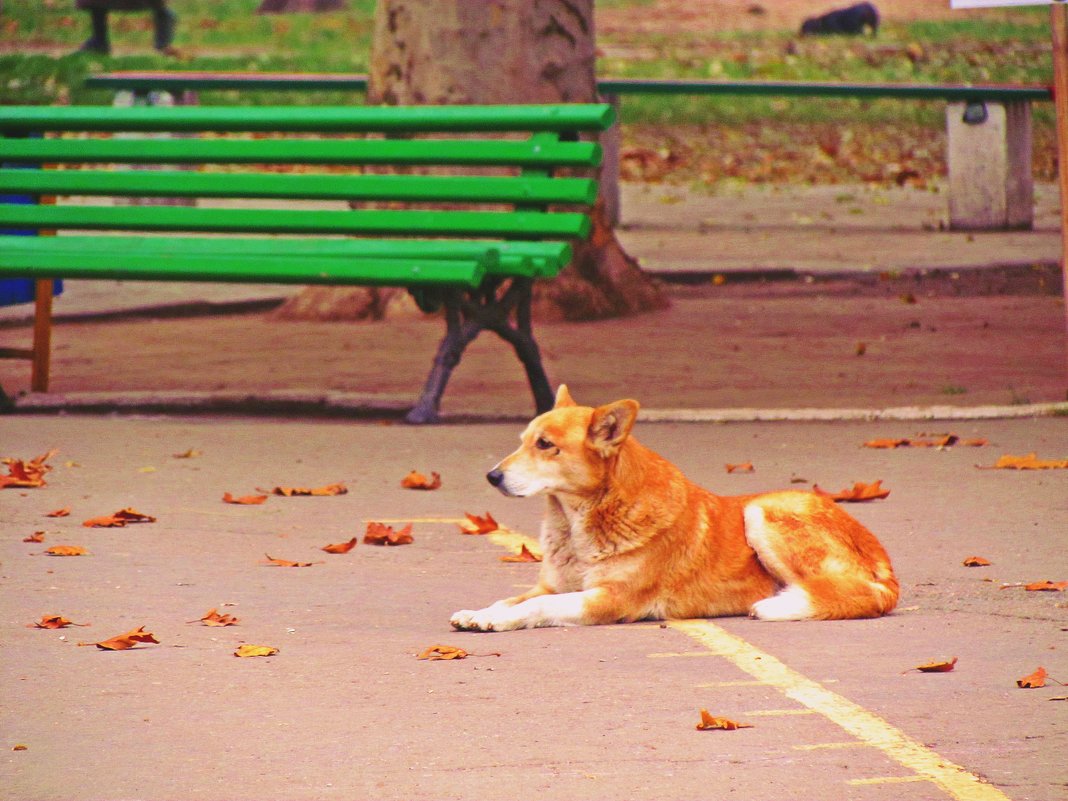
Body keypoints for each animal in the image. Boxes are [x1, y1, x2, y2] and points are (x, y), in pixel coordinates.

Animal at [446, 386, 897, 636]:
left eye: (545, 445)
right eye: (523, 440)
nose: (491, 476)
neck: (581, 522)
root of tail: (877, 550)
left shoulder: (610, 600)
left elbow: (533, 609)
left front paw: (502, 621)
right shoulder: (552, 587)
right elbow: (509, 600)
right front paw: (480, 614)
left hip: (761, 511)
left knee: (858, 594)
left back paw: (777, 604)